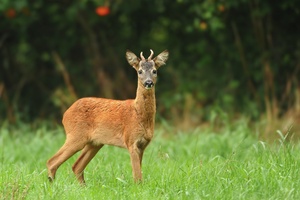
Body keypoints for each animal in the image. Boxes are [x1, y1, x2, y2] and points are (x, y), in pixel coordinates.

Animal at [47, 49, 169, 184]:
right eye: (140, 71)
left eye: (154, 70)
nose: (148, 83)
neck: (138, 114)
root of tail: (65, 114)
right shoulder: (130, 140)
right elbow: (137, 175)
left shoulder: (143, 144)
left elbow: (139, 173)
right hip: (76, 135)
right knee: (52, 161)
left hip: (94, 142)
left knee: (76, 166)